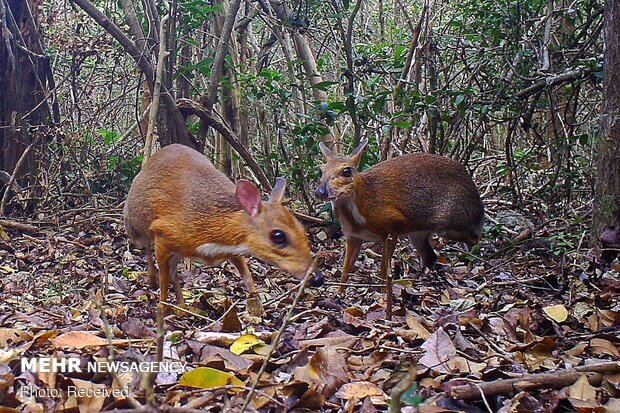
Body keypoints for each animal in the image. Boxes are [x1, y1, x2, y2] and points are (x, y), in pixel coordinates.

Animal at [123, 143, 322, 314]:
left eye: (301, 228)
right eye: (278, 236)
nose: (317, 277)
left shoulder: (235, 249)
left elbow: (248, 277)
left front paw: (260, 310)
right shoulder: (162, 233)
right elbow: (164, 279)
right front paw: (162, 309)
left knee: (173, 271)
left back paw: (182, 306)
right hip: (135, 227)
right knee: (148, 249)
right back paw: (153, 281)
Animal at [314, 138, 484, 316]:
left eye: (347, 171)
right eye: (322, 171)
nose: (320, 192)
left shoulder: (392, 226)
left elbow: (383, 268)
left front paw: (383, 294)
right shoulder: (353, 236)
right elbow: (346, 270)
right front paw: (338, 294)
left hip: (453, 223)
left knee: (475, 239)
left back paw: (470, 270)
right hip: (418, 233)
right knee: (430, 256)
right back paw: (411, 282)